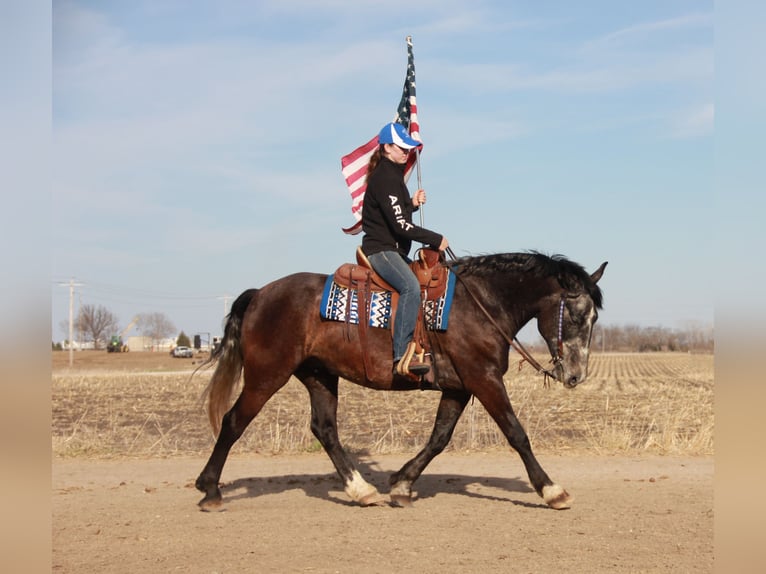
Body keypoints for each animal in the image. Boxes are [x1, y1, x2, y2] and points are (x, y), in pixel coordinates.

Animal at [195, 251, 607, 510]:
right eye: (576, 314)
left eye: (594, 318)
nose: (575, 375)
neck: (481, 304)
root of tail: (260, 294)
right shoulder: (484, 379)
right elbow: (516, 433)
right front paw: (551, 490)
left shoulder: (459, 387)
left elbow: (439, 438)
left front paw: (402, 483)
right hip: (266, 376)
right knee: (233, 422)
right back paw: (210, 488)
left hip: (319, 376)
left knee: (324, 429)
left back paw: (361, 490)